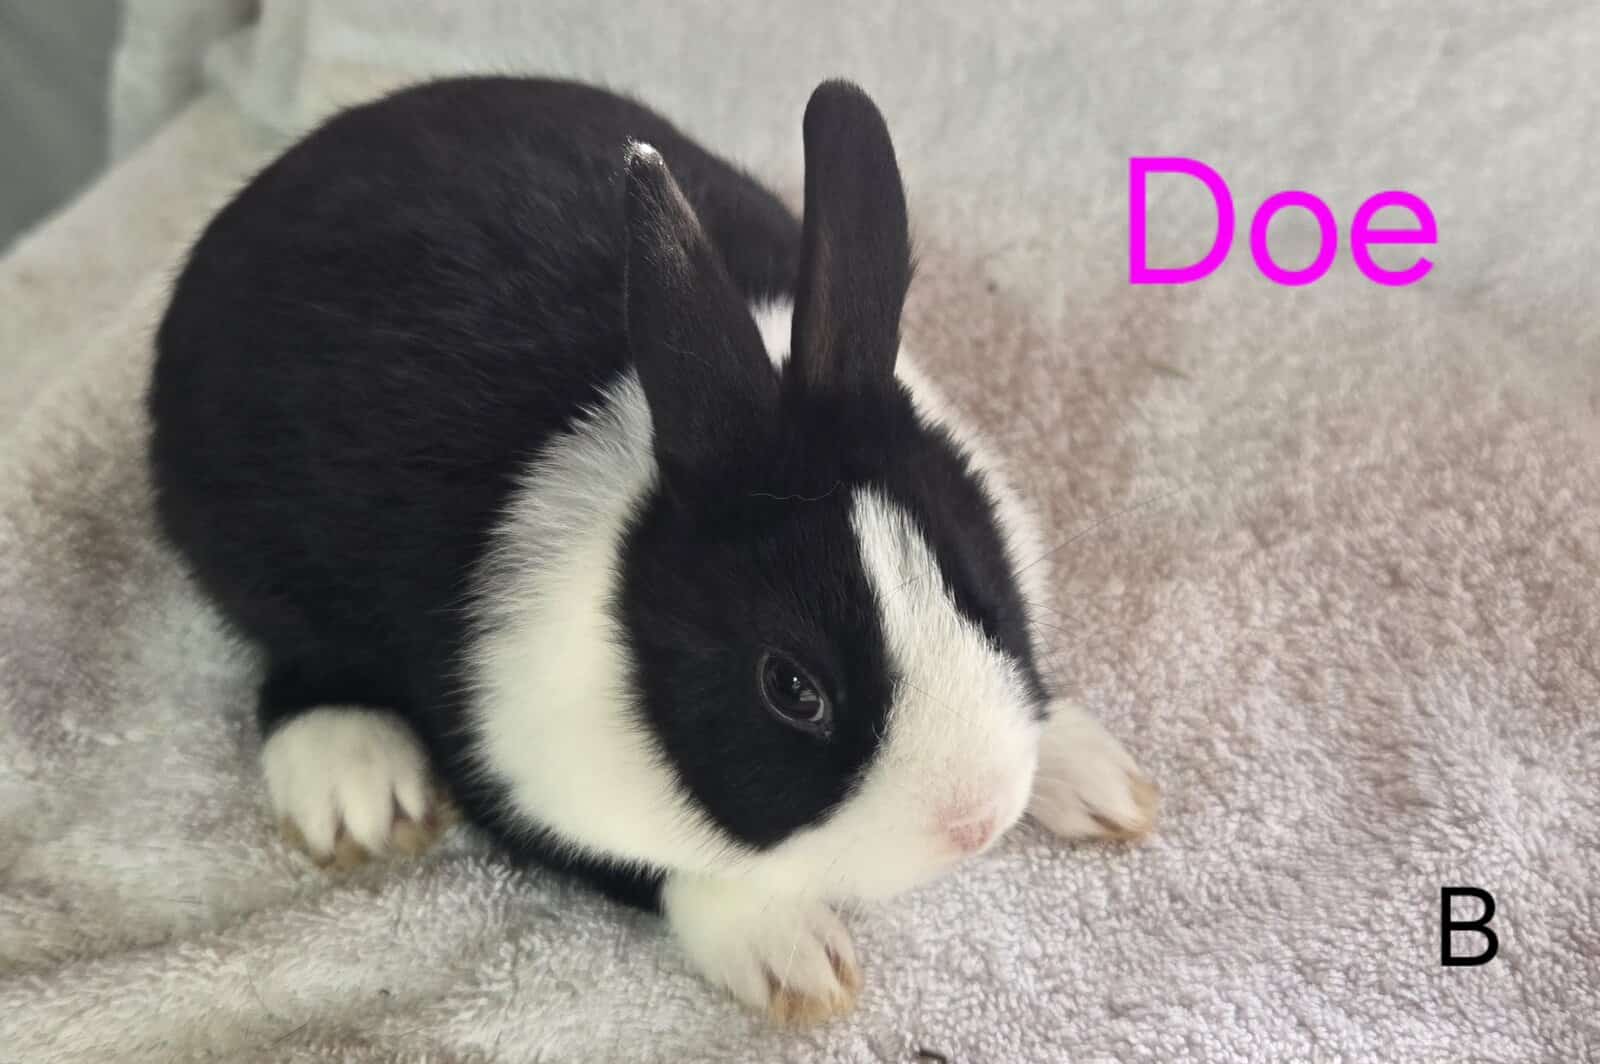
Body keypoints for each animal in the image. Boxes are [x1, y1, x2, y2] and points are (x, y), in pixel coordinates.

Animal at [148, 75, 1158, 1023]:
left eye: (981, 589)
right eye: (791, 687)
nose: (973, 823)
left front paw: (1093, 776)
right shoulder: (507, 771)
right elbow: (662, 870)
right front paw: (791, 954)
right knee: (292, 664)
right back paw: (359, 787)